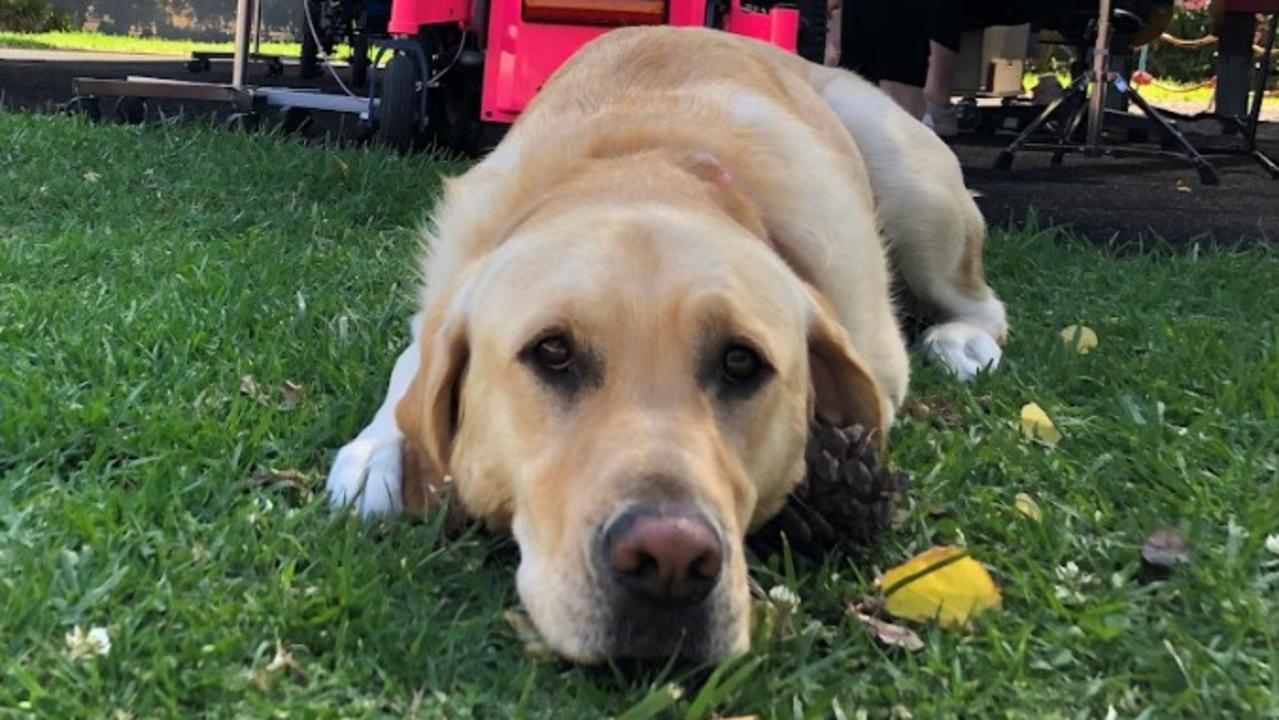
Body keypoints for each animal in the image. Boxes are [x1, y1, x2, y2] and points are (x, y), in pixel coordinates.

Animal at [329, 28, 1007, 665]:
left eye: (741, 361)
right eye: (552, 352)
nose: (671, 559)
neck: (647, 163)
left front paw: (837, 475)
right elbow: (408, 366)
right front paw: (377, 457)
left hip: (912, 188)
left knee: (983, 301)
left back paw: (964, 343)